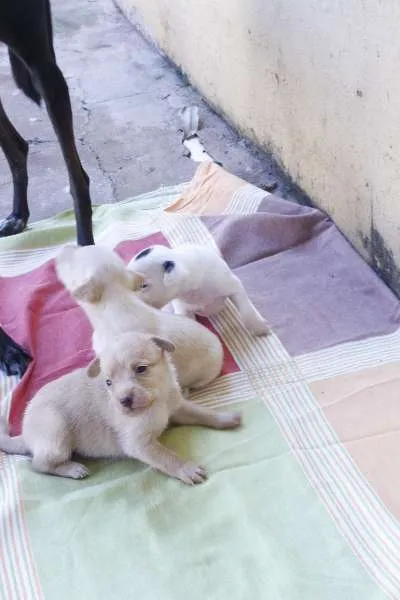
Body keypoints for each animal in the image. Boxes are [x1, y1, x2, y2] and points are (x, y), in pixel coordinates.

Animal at [0, 330, 241, 486]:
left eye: (141, 369)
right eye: (108, 382)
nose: (124, 400)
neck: (157, 401)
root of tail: (25, 435)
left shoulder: (177, 407)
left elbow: (200, 412)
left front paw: (225, 417)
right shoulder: (139, 444)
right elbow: (166, 457)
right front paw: (186, 469)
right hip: (56, 435)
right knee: (38, 464)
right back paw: (72, 468)